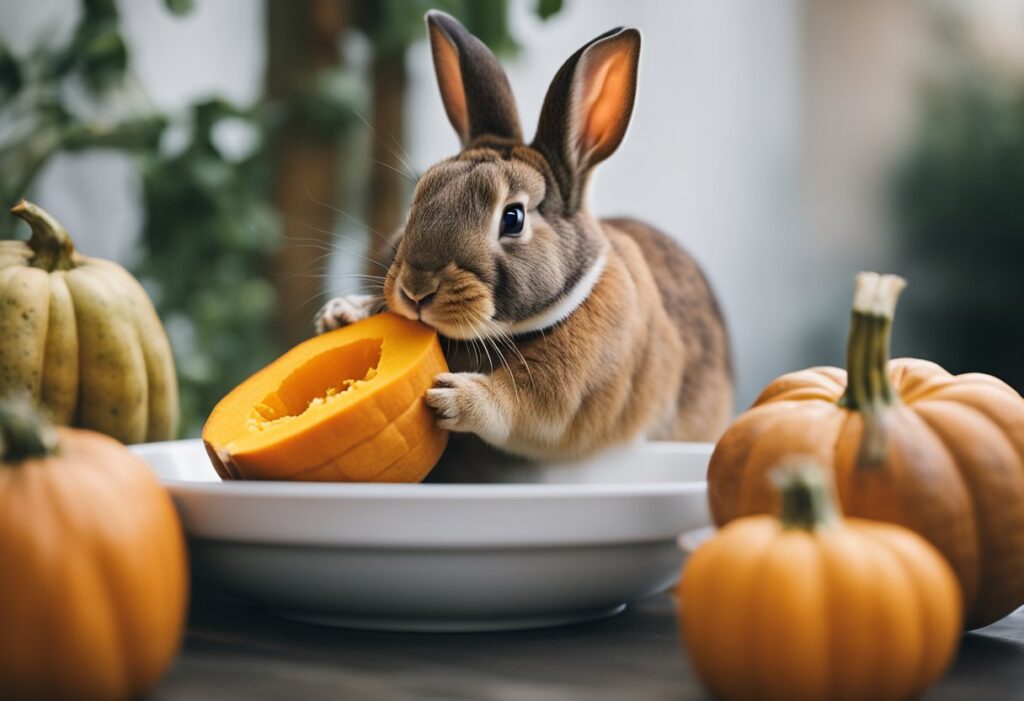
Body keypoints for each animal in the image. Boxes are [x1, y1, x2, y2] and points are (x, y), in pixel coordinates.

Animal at [315, 10, 733, 462]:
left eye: (513, 218)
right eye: (417, 198)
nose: (416, 290)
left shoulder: (570, 388)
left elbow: (520, 404)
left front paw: (452, 398)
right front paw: (340, 313)